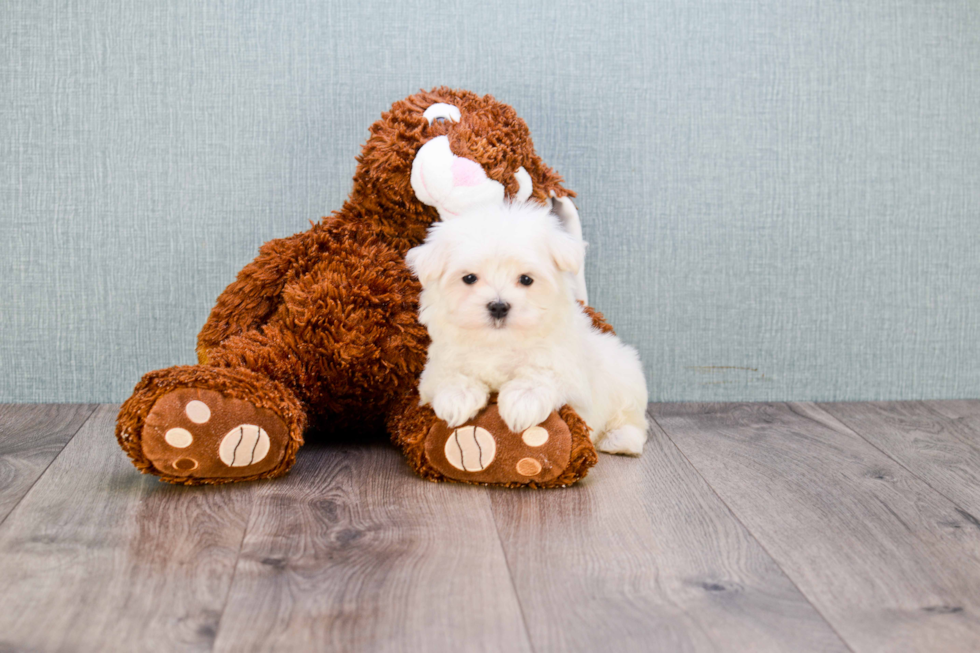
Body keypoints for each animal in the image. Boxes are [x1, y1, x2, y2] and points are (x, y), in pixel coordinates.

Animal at [406, 201, 652, 456]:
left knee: (633, 420)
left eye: (526, 279)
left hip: (626, 377)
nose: (498, 306)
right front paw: (457, 397)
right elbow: (451, 376)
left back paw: (619, 439)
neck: (500, 343)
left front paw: (522, 402)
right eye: (469, 278)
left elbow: (542, 374)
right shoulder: (436, 371)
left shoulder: (569, 375)